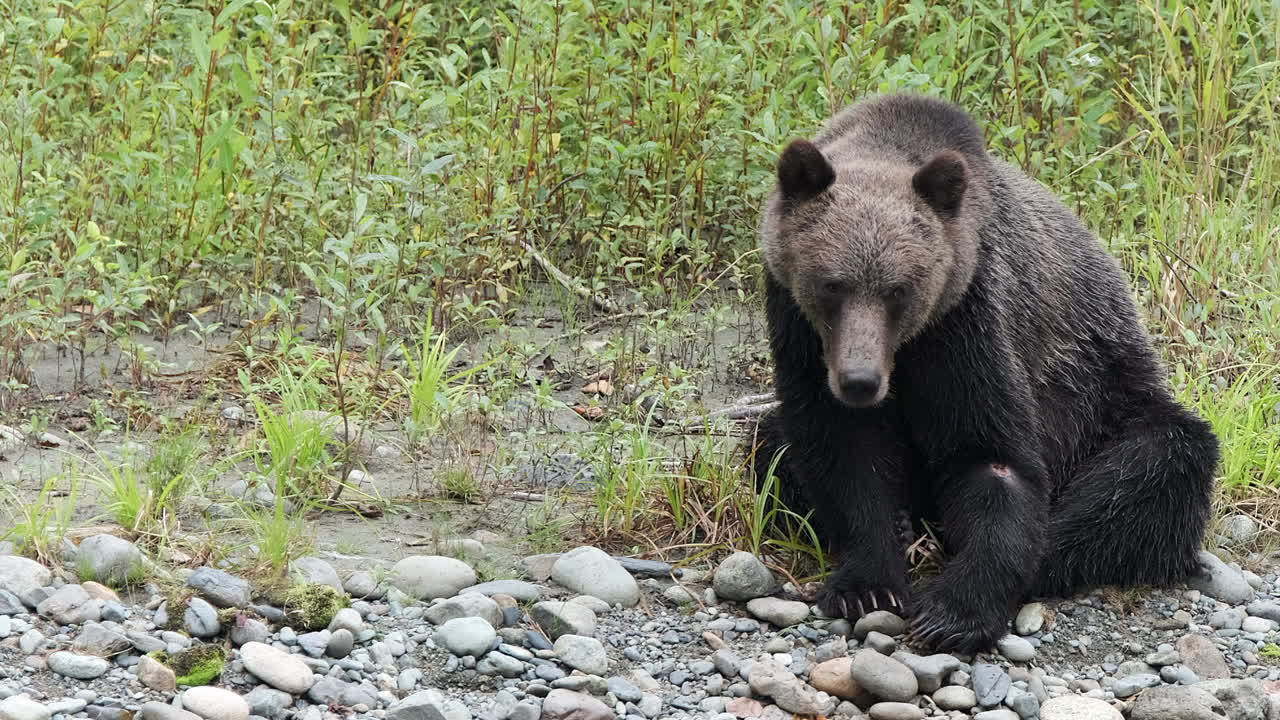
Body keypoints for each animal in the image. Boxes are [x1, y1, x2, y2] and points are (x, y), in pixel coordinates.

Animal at [750, 92, 1219, 654]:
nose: (860, 382)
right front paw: (867, 583)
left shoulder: (967, 321)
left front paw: (953, 611)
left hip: (1108, 397)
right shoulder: (799, 327)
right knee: (769, 440)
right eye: (832, 285)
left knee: (1153, 467)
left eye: (899, 290)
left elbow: (991, 454)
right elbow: (839, 449)